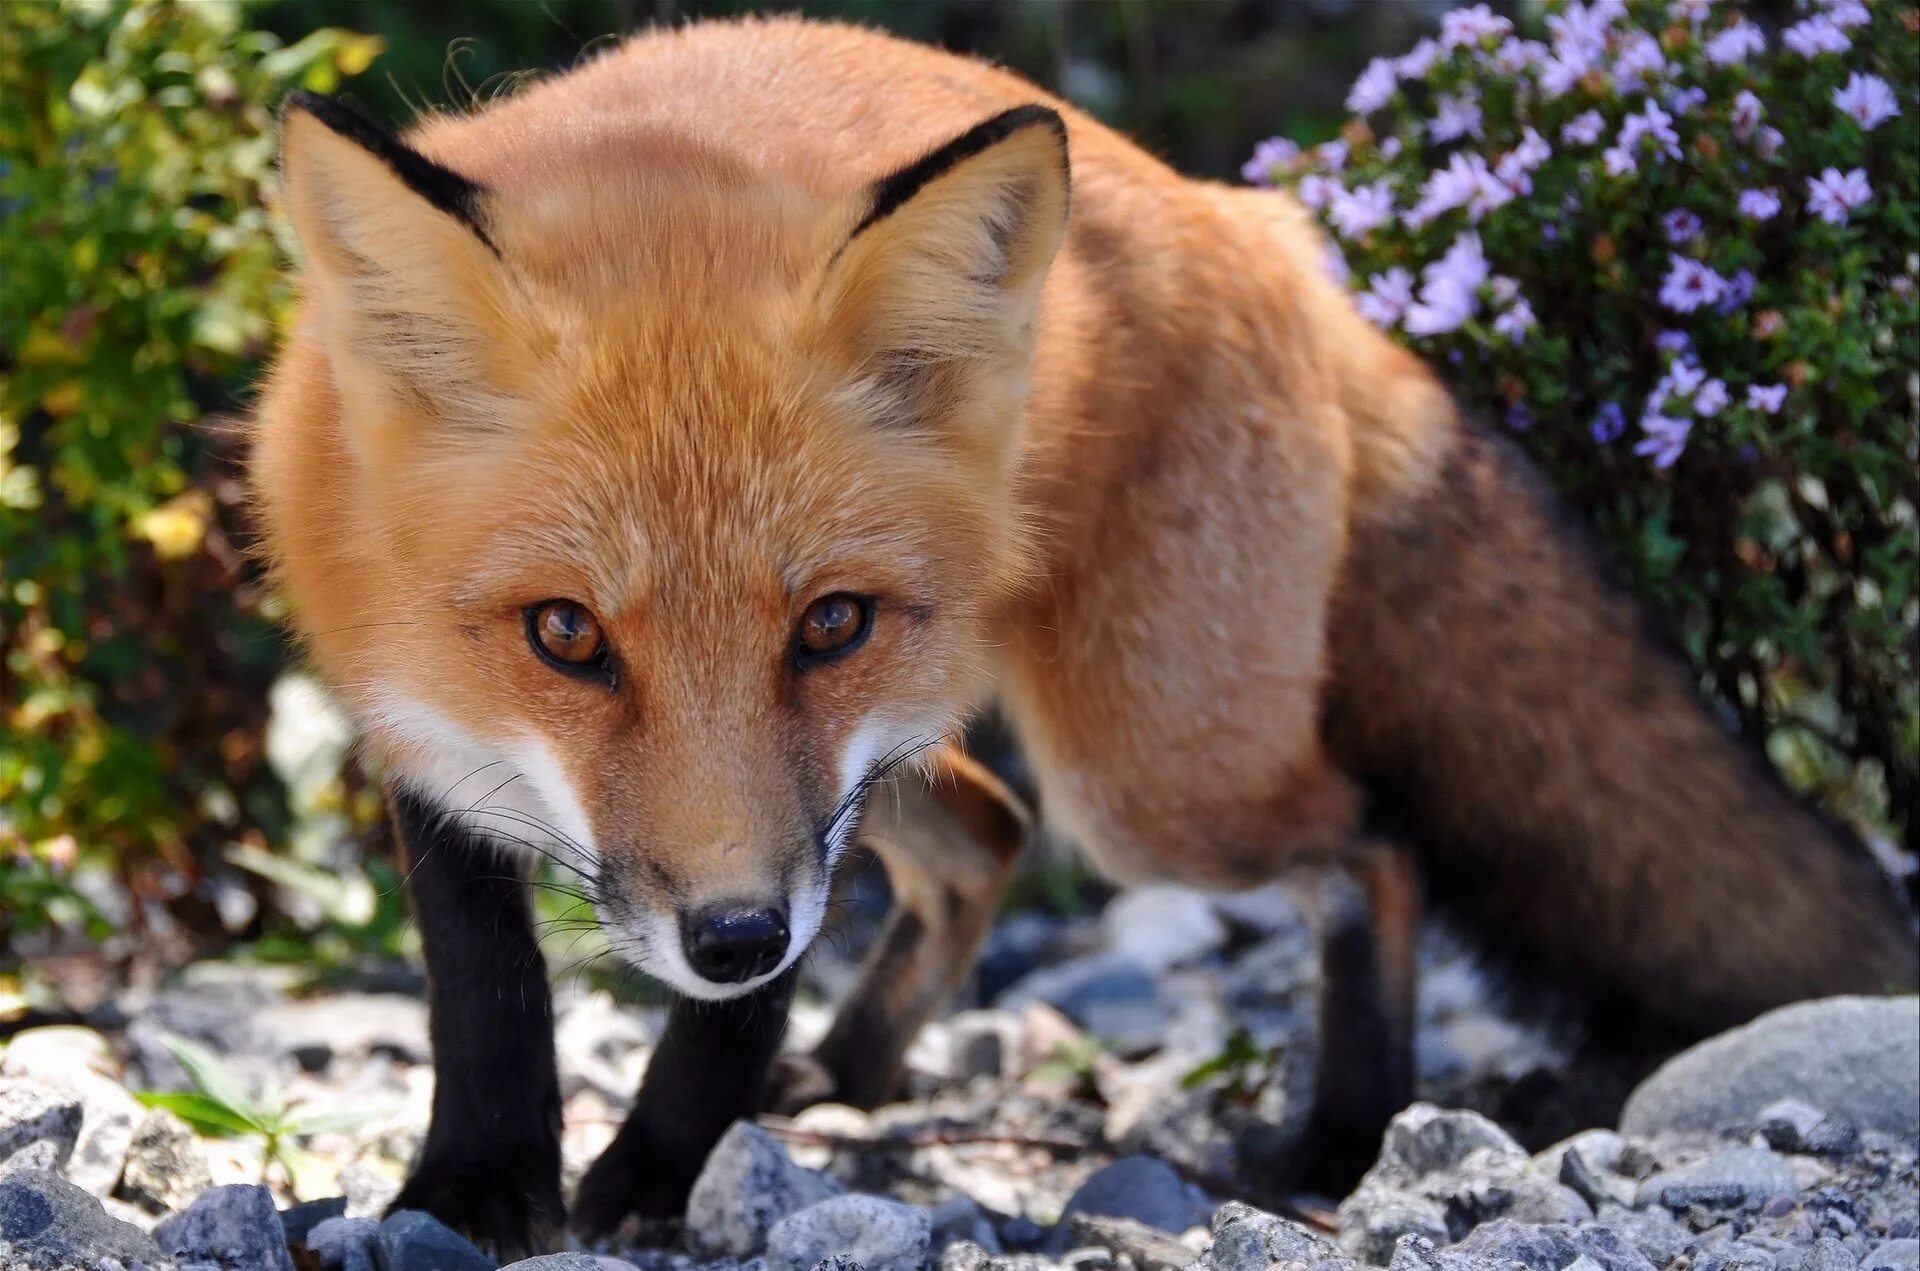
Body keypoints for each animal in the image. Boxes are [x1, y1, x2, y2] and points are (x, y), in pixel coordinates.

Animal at [247, 14, 1912, 1259]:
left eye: (827, 620)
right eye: (566, 635)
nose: (728, 936)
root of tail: (1268, 232)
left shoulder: (807, 808)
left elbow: (724, 1000)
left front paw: (661, 1167)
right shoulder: (418, 718)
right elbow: (483, 982)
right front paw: (474, 1182)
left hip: (1145, 776)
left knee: (1371, 845)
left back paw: (1342, 1130)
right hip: (954, 756)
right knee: (988, 834)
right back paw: (856, 1071)